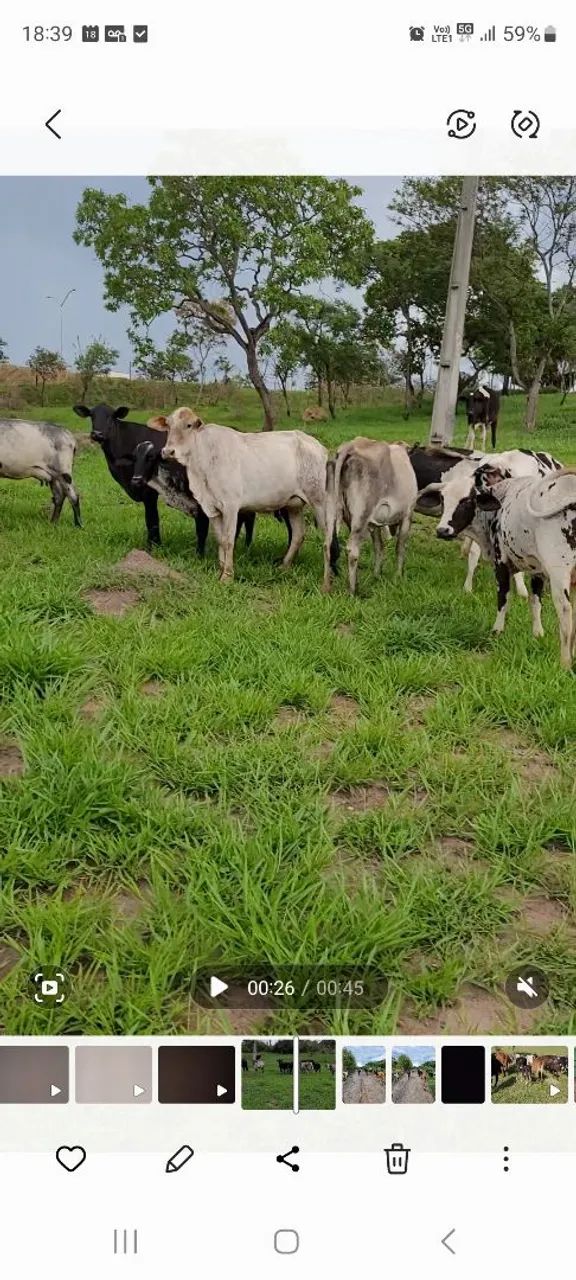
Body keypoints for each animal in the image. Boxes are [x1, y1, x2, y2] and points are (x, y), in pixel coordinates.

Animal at [160, 408, 328, 582]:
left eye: (188, 425)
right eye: (168, 425)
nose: (168, 451)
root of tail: (319, 447)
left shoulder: (231, 507)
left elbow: (228, 540)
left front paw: (227, 576)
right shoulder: (211, 508)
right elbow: (220, 539)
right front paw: (221, 569)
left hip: (320, 501)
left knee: (327, 538)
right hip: (293, 505)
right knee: (298, 534)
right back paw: (284, 566)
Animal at [323, 438, 418, 594]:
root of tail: (351, 447)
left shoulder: (374, 524)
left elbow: (379, 547)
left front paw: (376, 575)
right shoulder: (407, 514)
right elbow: (400, 547)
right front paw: (398, 577)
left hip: (332, 509)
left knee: (327, 545)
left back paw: (326, 587)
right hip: (361, 515)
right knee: (352, 549)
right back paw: (353, 590)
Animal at [439, 463, 576, 667]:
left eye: (466, 501)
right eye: (443, 500)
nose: (442, 530)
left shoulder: (501, 562)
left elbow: (503, 598)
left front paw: (497, 631)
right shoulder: (537, 570)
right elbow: (535, 602)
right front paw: (538, 634)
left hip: (559, 572)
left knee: (565, 612)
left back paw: (565, 663)